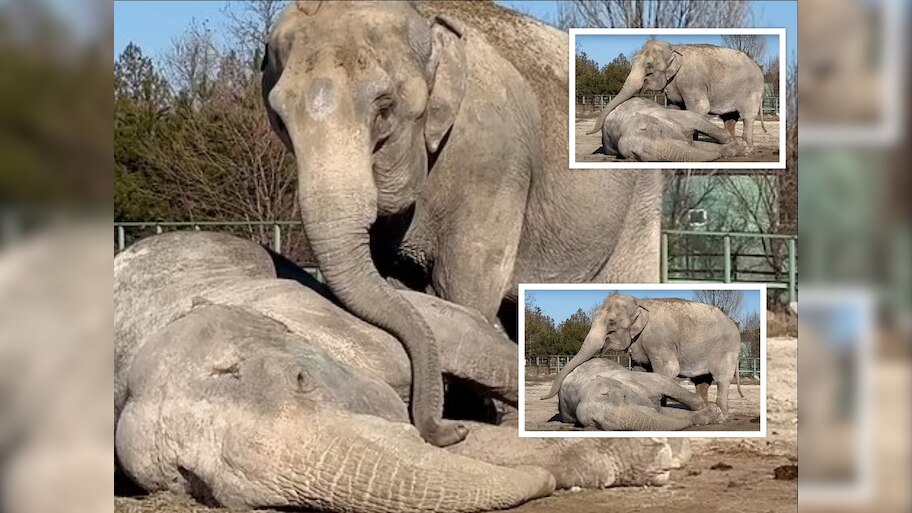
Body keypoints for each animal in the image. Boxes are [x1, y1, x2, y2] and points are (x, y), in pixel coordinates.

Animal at [261, 1, 663, 446]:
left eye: (384, 107)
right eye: (278, 118)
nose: (449, 432)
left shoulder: (491, 159)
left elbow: (461, 282)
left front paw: (471, 418)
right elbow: (395, 280)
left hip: (641, 203)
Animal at [542, 293, 743, 416]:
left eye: (611, 323)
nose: (542, 398)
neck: (640, 302)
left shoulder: (660, 340)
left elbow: (668, 370)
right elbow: (641, 370)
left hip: (727, 350)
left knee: (722, 379)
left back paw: (723, 415)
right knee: (702, 382)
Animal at [558, 359, 725, 431]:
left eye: (624, 397)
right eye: (596, 423)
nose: (688, 425)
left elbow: (664, 384)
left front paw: (716, 413)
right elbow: (662, 413)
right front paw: (710, 415)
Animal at [587, 40, 766, 151]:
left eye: (649, 66)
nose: (588, 133)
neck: (673, 47)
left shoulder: (692, 81)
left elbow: (700, 108)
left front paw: (692, 141)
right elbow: (675, 106)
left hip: (752, 90)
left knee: (747, 116)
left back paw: (748, 149)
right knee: (729, 118)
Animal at [599, 97, 749, 161]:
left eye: (660, 132)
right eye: (635, 155)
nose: (717, 156)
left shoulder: (668, 116)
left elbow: (697, 121)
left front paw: (742, 146)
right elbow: (693, 146)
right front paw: (737, 148)